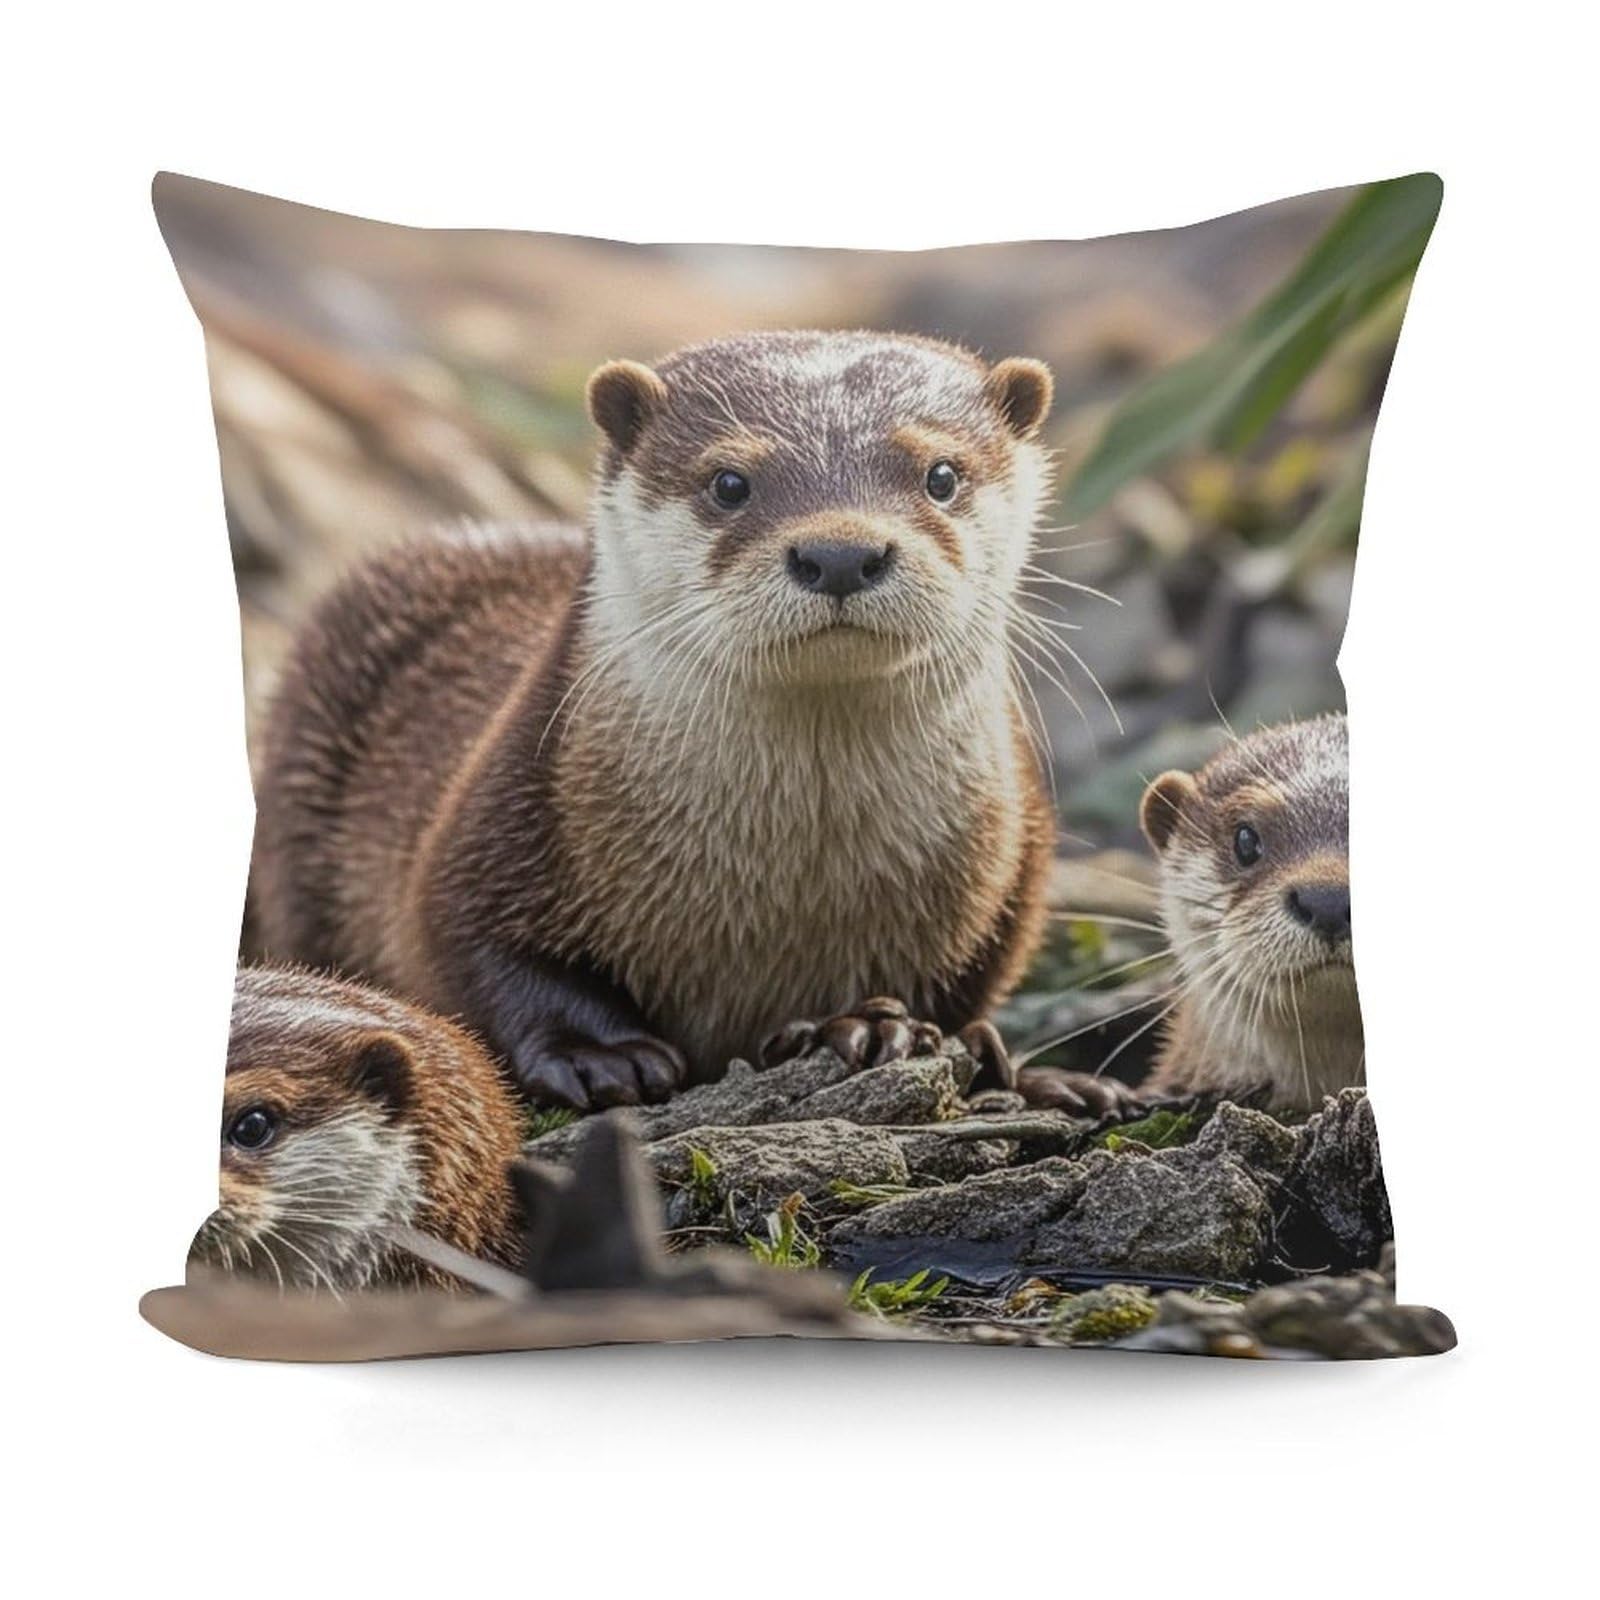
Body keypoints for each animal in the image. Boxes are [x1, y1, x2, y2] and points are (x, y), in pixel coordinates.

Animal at [251, 331, 1070, 1111]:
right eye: (730, 482)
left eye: (942, 475)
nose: (840, 552)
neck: (787, 886)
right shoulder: (500, 813)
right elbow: (470, 946)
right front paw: (599, 1053)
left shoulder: (1012, 864)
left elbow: (967, 987)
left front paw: (872, 1022)